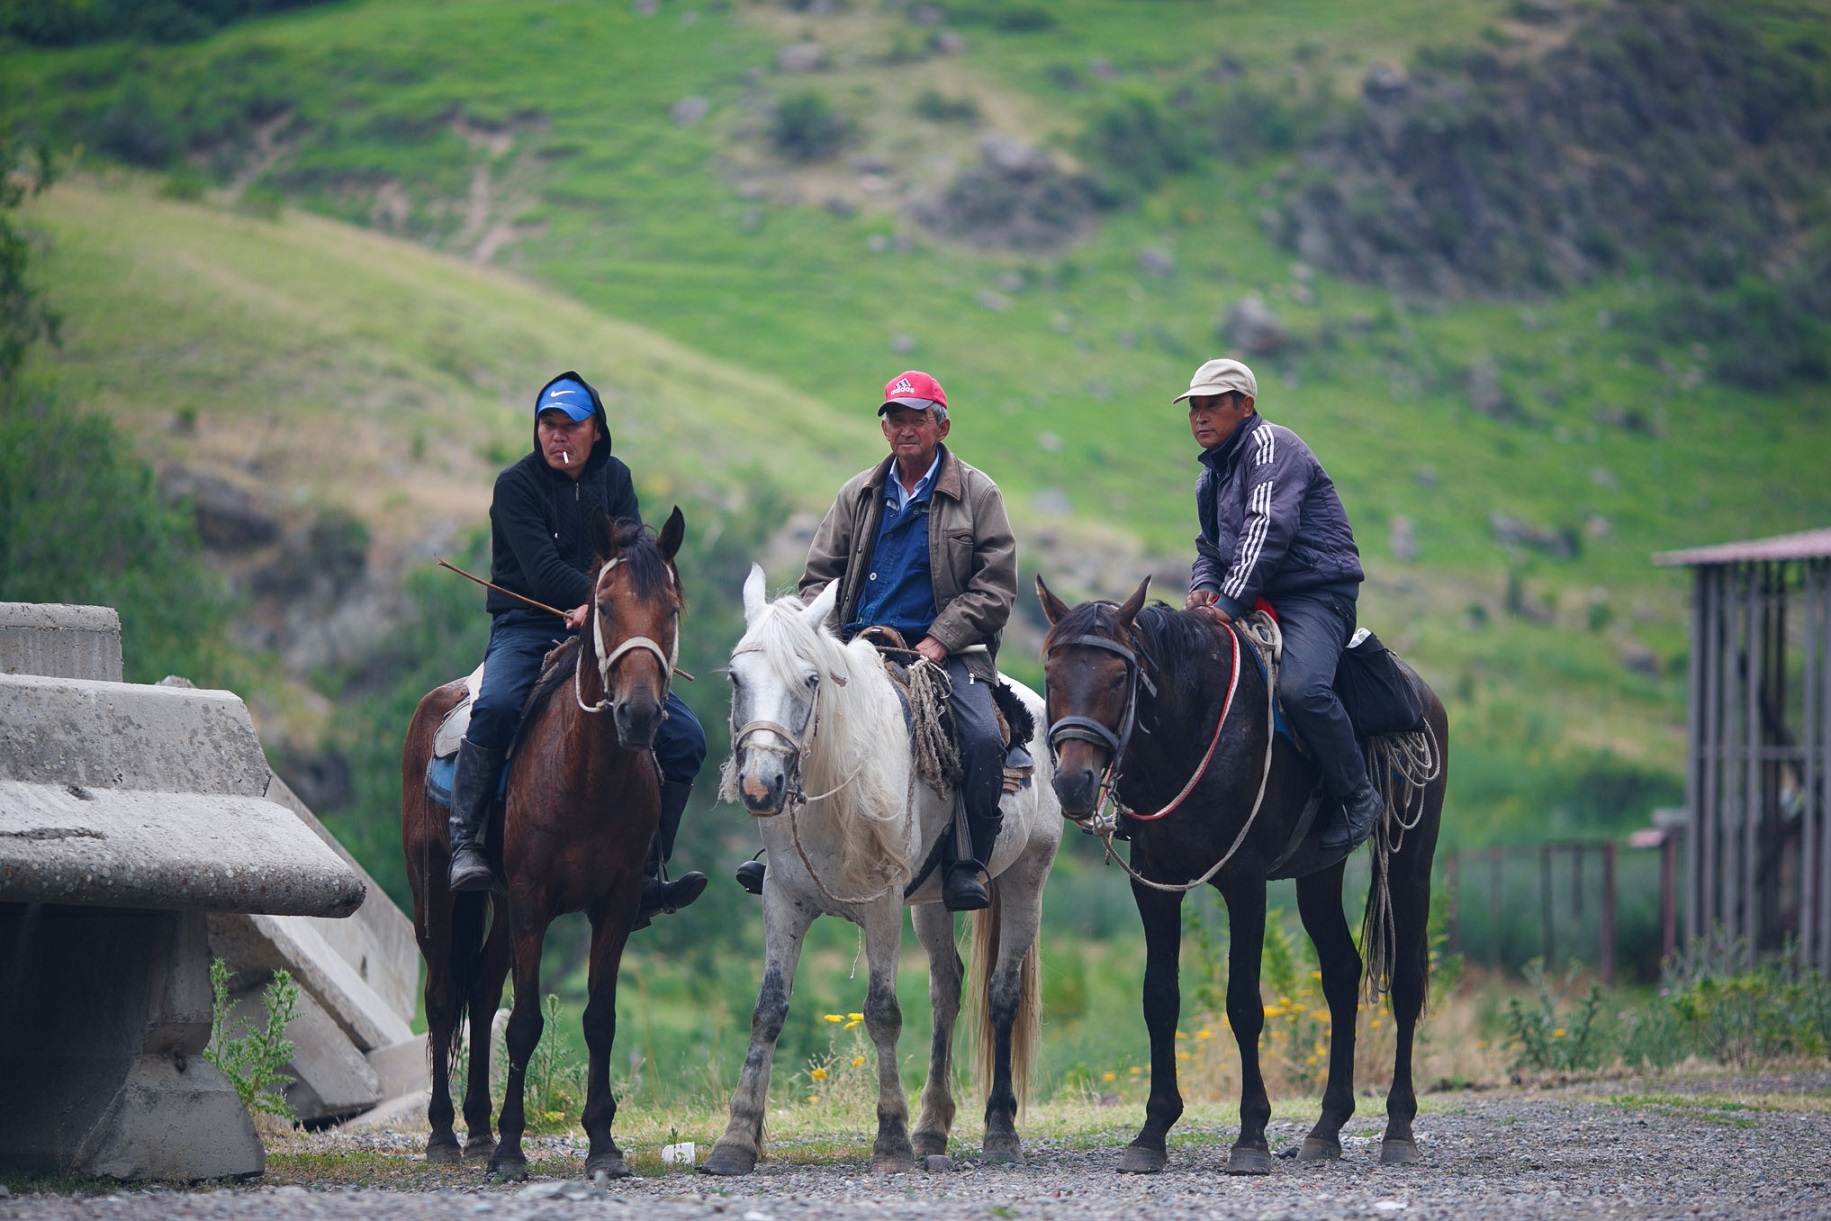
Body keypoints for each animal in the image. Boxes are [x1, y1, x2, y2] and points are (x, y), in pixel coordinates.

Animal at [402, 508, 688, 1186]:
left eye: (671, 609)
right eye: (603, 607)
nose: (640, 714)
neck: (587, 773)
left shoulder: (614, 907)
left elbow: (600, 1020)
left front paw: (602, 1142)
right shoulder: (533, 901)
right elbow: (527, 1023)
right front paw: (511, 1149)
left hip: (502, 906)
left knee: (481, 993)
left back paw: (477, 1127)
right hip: (435, 893)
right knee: (443, 996)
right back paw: (446, 1133)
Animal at [706, 567, 1069, 1178]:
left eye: (810, 679)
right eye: (736, 677)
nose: (760, 786)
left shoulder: (881, 904)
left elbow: (882, 1013)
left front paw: (891, 1140)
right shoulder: (783, 899)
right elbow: (768, 1009)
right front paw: (735, 1141)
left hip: (1027, 878)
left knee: (1001, 992)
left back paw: (999, 1130)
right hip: (931, 902)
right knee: (947, 989)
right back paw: (932, 1128)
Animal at [1040, 578, 1450, 1178]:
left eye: (1119, 677)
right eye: (1051, 675)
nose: (1074, 782)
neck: (1194, 726)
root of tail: (1424, 694)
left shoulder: (1245, 884)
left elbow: (1243, 1003)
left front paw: (1252, 1135)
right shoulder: (1152, 886)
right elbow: (1159, 999)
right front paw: (1152, 1132)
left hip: (1410, 863)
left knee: (1404, 983)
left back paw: (1399, 1127)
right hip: (1319, 876)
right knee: (1342, 974)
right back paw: (1327, 1127)